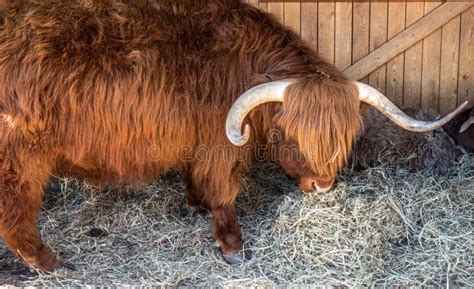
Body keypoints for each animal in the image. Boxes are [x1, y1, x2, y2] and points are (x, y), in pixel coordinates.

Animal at [0, 0, 466, 272]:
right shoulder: (217, 144)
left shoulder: (195, 141)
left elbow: (195, 179)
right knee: (16, 216)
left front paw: (194, 205)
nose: (322, 185)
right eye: (285, 133)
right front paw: (232, 246)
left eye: (343, 137)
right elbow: (224, 193)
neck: (241, 63)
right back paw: (51, 264)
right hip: (20, 159)